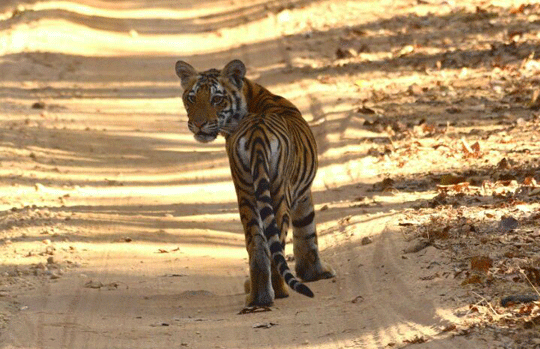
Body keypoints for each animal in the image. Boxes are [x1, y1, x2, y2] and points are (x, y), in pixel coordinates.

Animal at [175, 59, 336, 304]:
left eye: (217, 99)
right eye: (192, 98)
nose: (199, 124)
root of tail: (258, 134)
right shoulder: (302, 193)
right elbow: (307, 229)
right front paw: (317, 272)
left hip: (246, 191)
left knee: (257, 244)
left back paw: (258, 296)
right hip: (278, 192)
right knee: (274, 244)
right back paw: (278, 290)